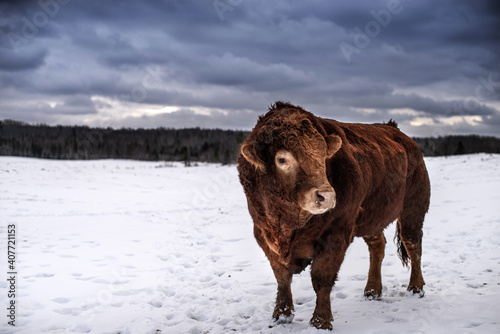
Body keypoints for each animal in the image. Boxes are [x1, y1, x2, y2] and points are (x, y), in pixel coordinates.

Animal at [237, 101, 430, 328]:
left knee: (413, 245)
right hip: (371, 218)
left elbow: (322, 278)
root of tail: (399, 134)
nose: (326, 195)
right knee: (378, 246)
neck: (286, 225)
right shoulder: (263, 234)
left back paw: (415, 288)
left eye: (323, 156)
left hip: (413, 209)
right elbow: (282, 277)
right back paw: (372, 290)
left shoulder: (336, 233)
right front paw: (281, 315)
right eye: (282, 159)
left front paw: (320, 322)